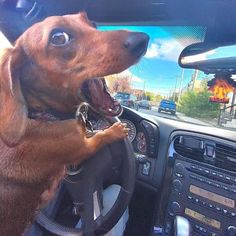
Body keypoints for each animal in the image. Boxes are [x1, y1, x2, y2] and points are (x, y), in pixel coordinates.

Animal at [0, 12, 148, 235]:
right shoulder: (84, 148)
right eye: (59, 37)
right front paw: (114, 130)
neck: (44, 114)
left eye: (92, 23)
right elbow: (99, 138)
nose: (143, 39)